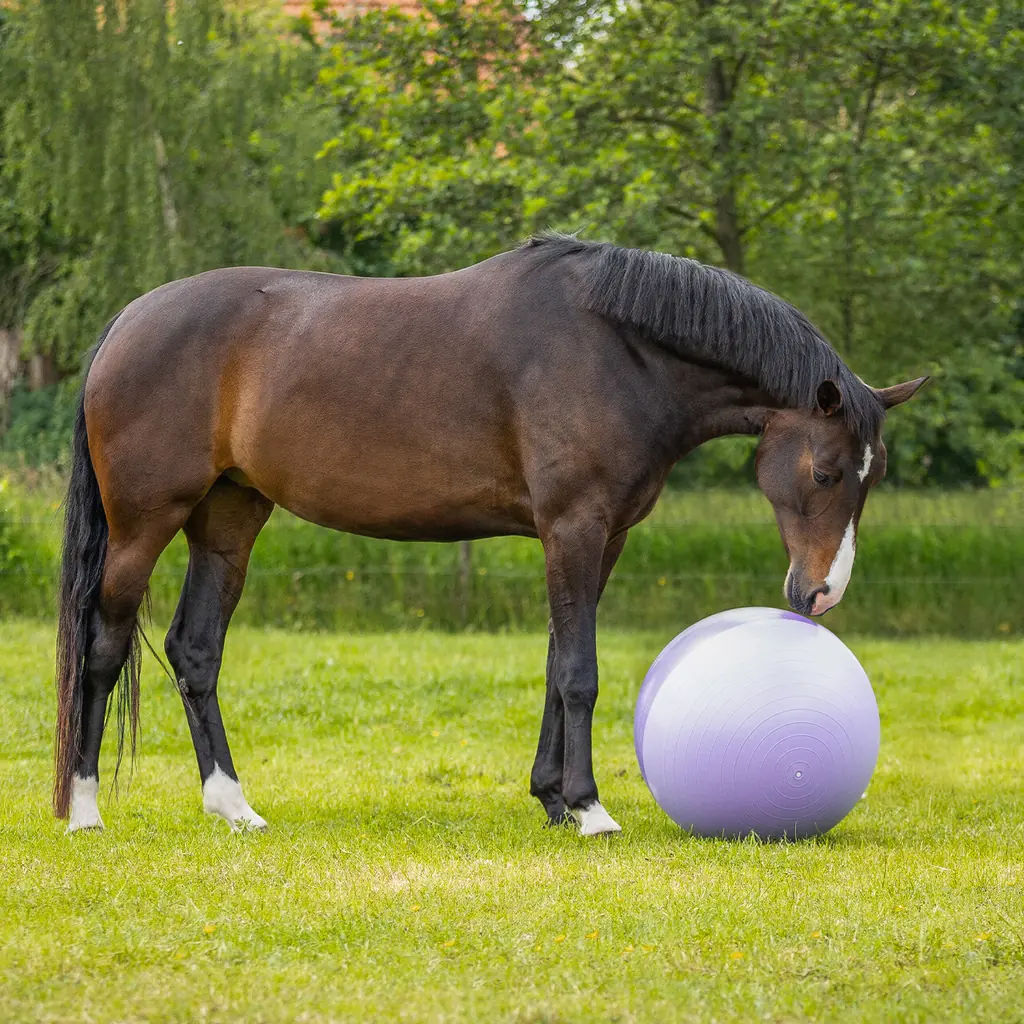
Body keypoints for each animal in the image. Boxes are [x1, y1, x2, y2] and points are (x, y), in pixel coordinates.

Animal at [52, 232, 926, 835]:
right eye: (825, 473)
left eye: (873, 476)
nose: (821, 592)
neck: (617, 351)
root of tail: (127, 321)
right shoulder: (573, 527)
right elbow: (578, 671)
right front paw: (590, 809)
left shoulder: (601, 538)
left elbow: (555, 662)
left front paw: (552, 800)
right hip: (144, 526)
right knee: (104, 644)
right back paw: (87, 809)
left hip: (229, 520)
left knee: (196, 651)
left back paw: (234, 807)